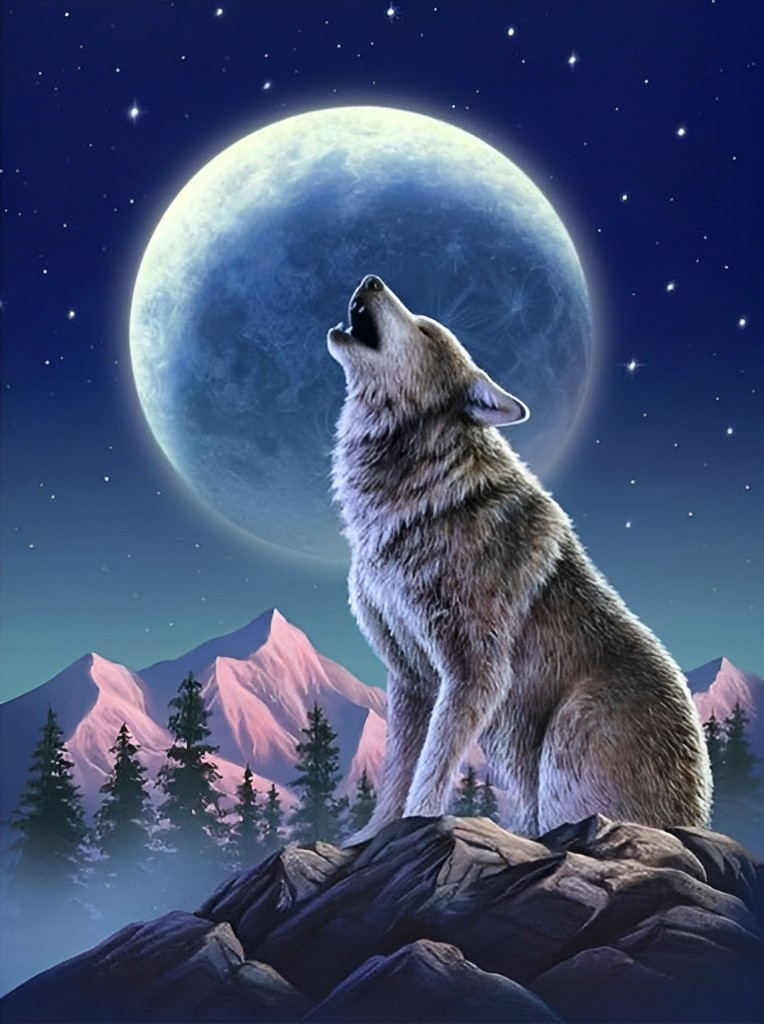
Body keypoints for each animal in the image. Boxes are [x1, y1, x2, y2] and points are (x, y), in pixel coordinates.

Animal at [328, 274, 712, 842]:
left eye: (424, 328)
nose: (370, 279)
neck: (425, 501)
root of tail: (697, 815)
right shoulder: (411, 677)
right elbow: (397, 770)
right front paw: (369, 836)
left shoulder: (476, 672)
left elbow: (431, 769)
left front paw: (418, 824)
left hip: (569, 733)